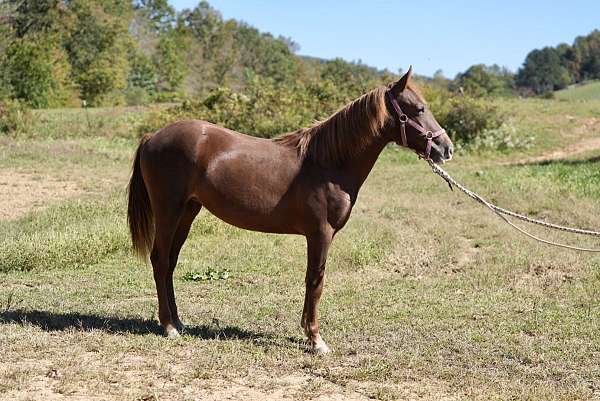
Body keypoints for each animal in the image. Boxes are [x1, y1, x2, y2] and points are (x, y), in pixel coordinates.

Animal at [127, 67, 454, 352]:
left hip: (188, 212)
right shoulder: (320, 234)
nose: (447, 149)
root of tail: (152, 137)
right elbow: (315, 281)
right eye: (419, 109)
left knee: (170, 263)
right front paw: (315, 339)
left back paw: (178, 322)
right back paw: (169, 326)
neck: (328, 164)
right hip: (168, 211)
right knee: (160, 260)